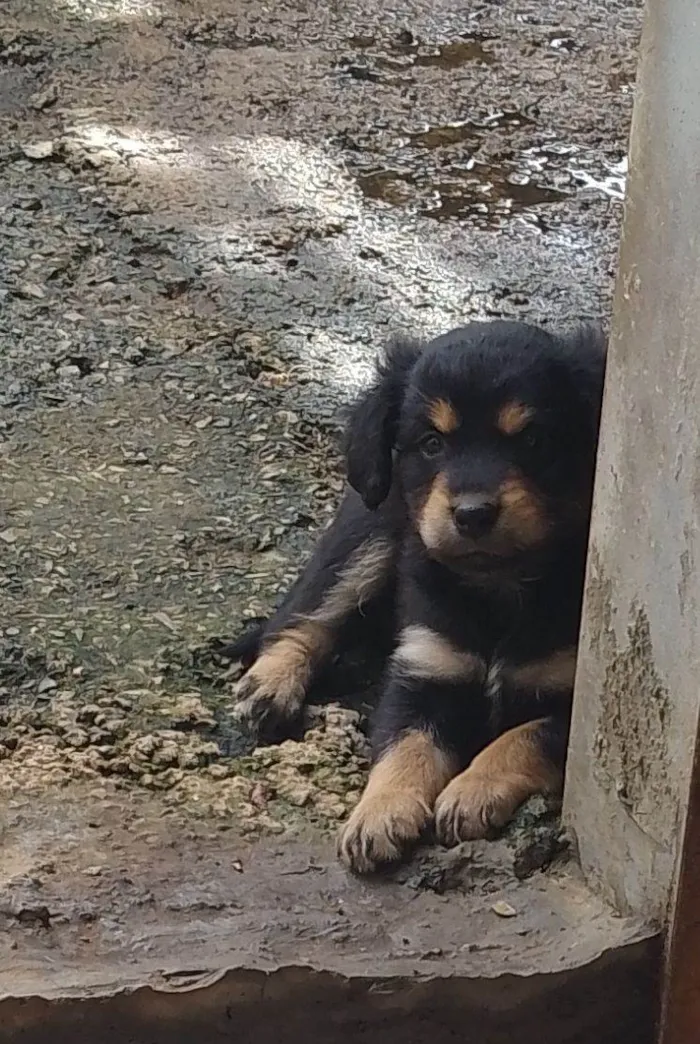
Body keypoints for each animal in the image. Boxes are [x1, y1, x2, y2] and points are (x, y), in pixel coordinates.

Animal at [226, 317, 610, 872]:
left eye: (534, 440)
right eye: (432, 443)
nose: (472, 514)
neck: (497, 589)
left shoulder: (572, 705)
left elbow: (522, 736)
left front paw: (471, 791)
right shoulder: (423, 669)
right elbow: (404, 744)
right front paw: (378, 814)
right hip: (367, 534)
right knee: (304, 615)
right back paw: (270, 686)